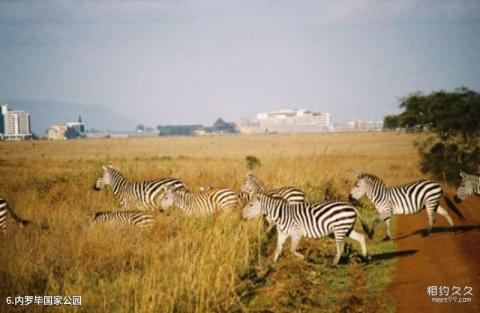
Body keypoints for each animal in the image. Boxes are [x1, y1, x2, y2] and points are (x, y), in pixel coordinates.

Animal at [242, 193, 370, 264]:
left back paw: (334, 262)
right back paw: (364, 257)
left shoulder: (296, 232)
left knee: (340, 246)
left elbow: (292, 250)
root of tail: (351, 207)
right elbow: (278, 248)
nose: (241, 216)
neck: (281, 215)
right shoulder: (282, 233)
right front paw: (273, 263)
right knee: (361, 237)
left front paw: (303, 258)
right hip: (346, 229)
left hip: (340, 229)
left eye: (251, 205)